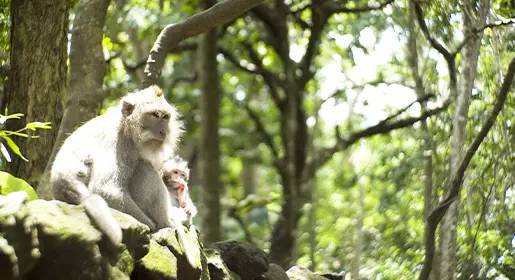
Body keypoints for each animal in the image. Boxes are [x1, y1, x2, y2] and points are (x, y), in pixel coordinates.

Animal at [51, 85, 183, 245]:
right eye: (155, 115)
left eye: (165, 117)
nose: (163, 131)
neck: (125, 126)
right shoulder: (117, 143)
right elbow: (106, 190)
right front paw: (150, 227)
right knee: (144, 168)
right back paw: (165, 223)